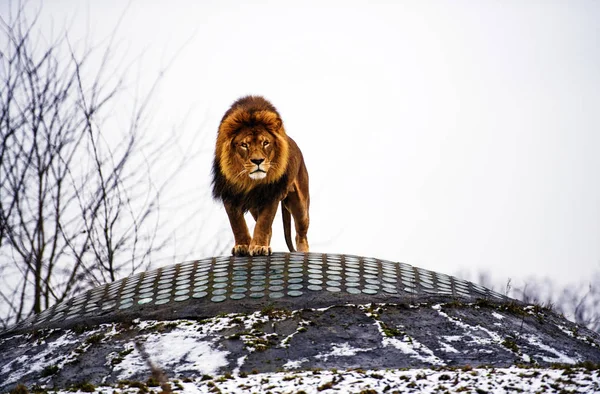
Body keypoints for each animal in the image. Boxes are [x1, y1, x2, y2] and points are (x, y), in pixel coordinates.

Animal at [211, 95, 312, 255]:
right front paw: (243, 245)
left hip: (300, 205)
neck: (249, 181)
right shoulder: (229, 193)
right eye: (244, 145)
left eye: (265, 143)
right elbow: (237, 223)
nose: (258, 161)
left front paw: (259, 247)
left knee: (301, 234)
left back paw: (302, 252)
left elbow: (264, 222)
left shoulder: (272, 193)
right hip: (254, 206)